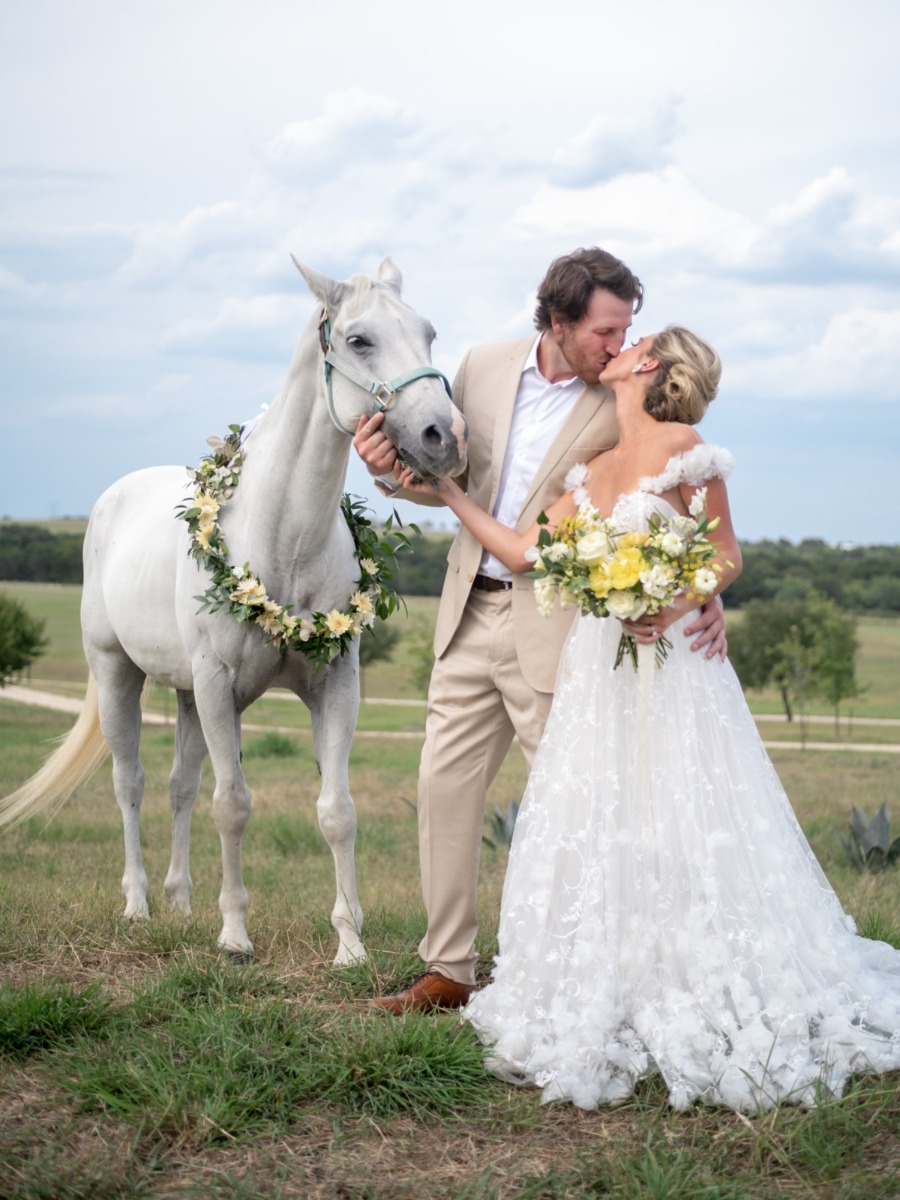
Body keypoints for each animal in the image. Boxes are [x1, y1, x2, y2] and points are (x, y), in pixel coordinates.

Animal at [0, 258, 465, 960]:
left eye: (429, 332)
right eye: (359, 340)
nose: (445, 436)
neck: (285, 537)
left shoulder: (334, 686)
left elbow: (336, 810)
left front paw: (349, 944)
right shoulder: (219, 685)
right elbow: (234, 805)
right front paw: (235, 935)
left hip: (189, 697)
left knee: (179, 787)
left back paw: (180, 902)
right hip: (118, 675)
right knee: (131, 783)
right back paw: (139, 904)